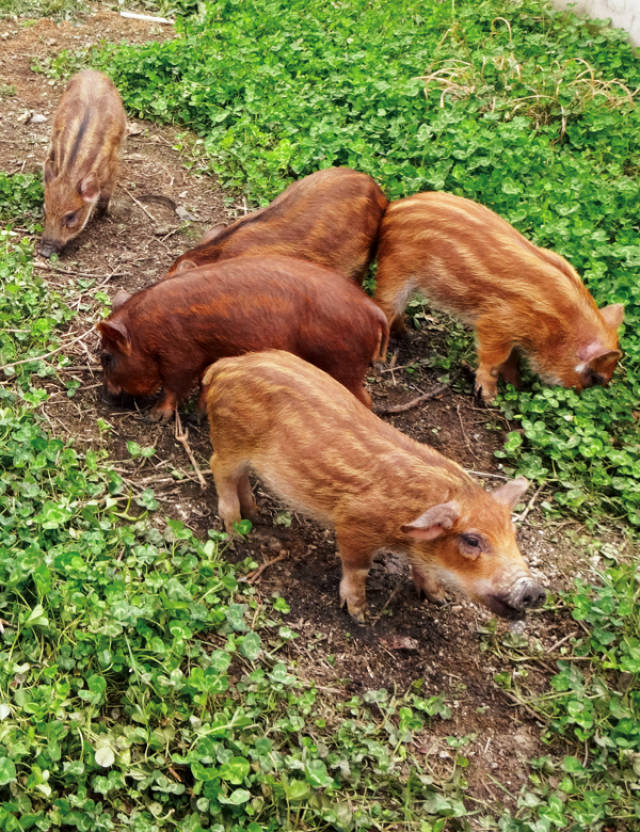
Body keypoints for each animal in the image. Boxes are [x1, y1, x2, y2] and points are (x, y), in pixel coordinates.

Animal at [39, 71, 126, 256]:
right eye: (44, 210)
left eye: (71, 216)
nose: (45, 252)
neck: (71, 174)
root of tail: (93, 71)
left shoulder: (112, 168)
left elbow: (105, 197)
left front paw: (102, 215)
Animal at [97, 254, 388, 422]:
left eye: (106, 357)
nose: (106, 396)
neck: (146, 332)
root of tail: (374, 311)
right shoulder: (208, 353)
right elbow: (204, 382)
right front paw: (197, 417)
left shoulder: (180, 354)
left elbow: (174, 386)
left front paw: (154, 417)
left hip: (344, 364)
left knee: (365, 399)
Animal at [205, 348, 544, 620]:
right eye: (472, 541)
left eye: (513, 534)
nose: (535, 591)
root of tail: (223, 366)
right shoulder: (353, 523)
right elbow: (358, 569)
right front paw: (358, 615)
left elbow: (423, 568)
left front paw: (440, 599)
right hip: (230, 441)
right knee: (218, 468)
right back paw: (235, 531)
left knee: (240, 478)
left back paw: (256, 515)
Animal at [376, 195, 624, 404]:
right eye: (596, 377)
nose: (577, 395)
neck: (559, 325)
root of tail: (392, 209)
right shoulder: (496, 323)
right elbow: (494, 360)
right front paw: (489, 398)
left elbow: (511, 361)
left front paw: (517, 386)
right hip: (394, 273)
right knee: (384, 310)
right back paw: (380, 361)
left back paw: (408, 335)